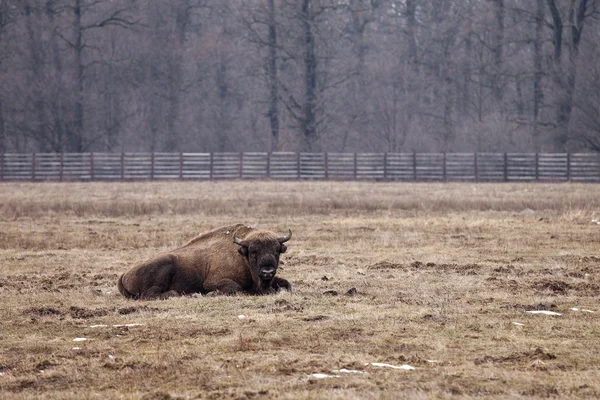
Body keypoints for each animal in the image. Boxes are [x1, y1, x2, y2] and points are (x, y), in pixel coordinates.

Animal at [116, 223, 290, 298]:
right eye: (253, 252)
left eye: (276, 251)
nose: (267, 271)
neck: (242, 257)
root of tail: (124, 274)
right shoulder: (212, 281)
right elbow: (234, 287)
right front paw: (211, 294)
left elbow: (287, 284)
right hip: (164, 265)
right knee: (151, 294)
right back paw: (185, 294)